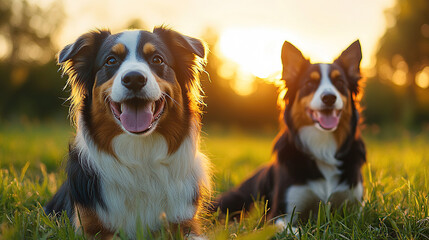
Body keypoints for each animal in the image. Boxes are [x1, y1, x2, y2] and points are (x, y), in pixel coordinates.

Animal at [44, 27, 211, 239]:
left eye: (157, 59)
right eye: (111, 60)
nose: (134, 79)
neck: (139, 153)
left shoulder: (184, 222)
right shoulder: (90, 226)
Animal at [212, 40, 366, 230]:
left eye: (340, 82)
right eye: (309, 83)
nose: (329, 97)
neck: (323, 145)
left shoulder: (355, 208)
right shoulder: (280, 213)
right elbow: (292, 229)